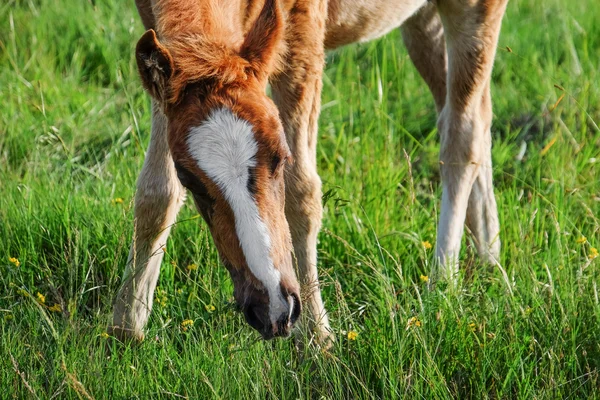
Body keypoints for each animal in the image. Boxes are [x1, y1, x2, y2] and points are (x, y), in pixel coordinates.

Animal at [109, 0, 506, 344]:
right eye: (191, 179)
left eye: (279, 158)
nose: (270, 308)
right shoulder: (163, 58)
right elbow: (156, 193)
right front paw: (125, 328)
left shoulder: (303, 36)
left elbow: (302, 194)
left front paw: (317, 338)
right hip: (423, 19)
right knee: (476, 114)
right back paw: (488, 256)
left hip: (474, 8)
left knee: (464, 133)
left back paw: (443, 281)